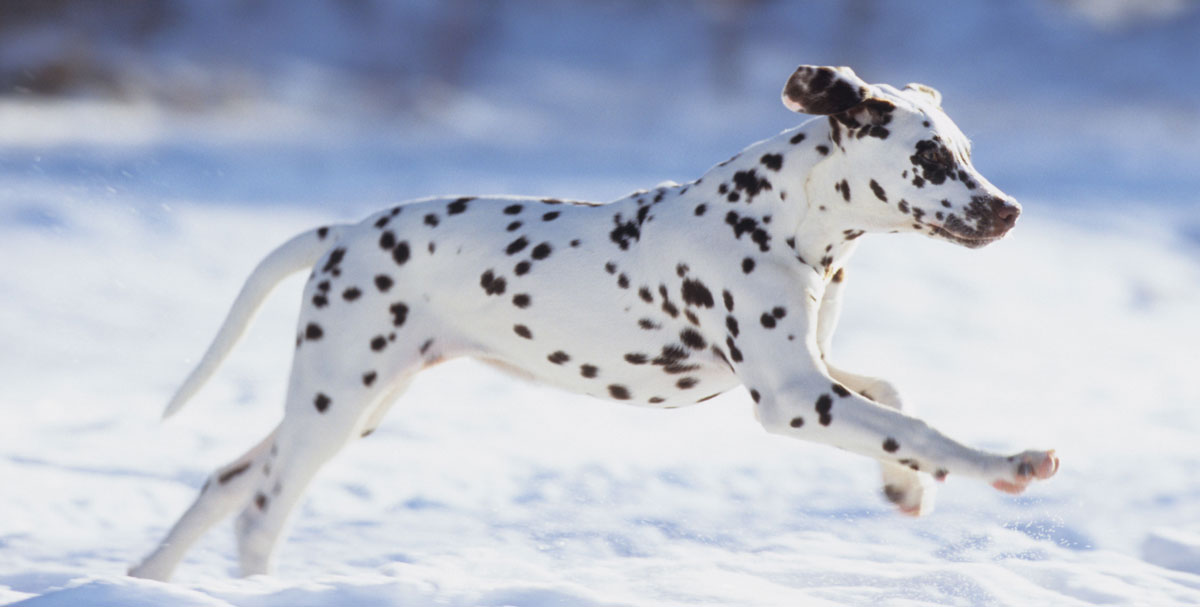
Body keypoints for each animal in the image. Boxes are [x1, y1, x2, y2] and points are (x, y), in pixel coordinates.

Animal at [129, 63, 1060, 580]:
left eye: (966, 150)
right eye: (930, 157)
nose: (1009, 210)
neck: (785, 214)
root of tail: (344, 230)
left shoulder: (812, 371)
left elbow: (896, 400)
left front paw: (904, 485)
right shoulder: (794, 398)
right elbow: (926, 426)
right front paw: (1009, 463)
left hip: (352, 403)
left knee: (227, 479)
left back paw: (148, 573)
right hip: (336, 402)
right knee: (259, 509)